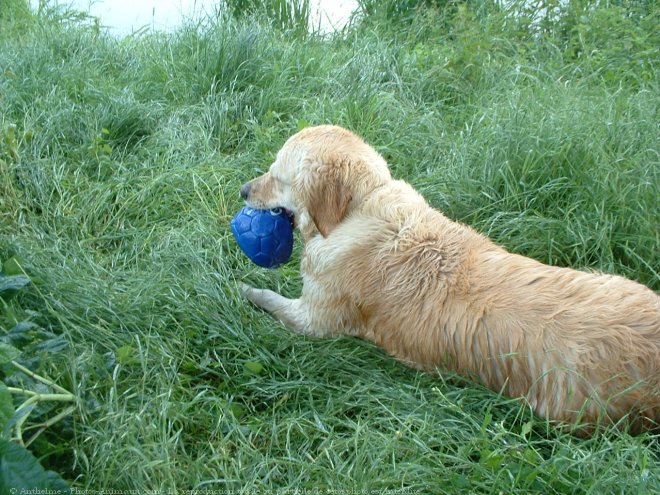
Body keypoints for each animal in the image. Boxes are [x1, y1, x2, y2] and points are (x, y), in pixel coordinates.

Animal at [240, 124, 660, 434]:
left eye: (277, 176)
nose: (243, 190)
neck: (359, 208)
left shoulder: (315, 320)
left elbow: (271, 300)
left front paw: (245, 289)